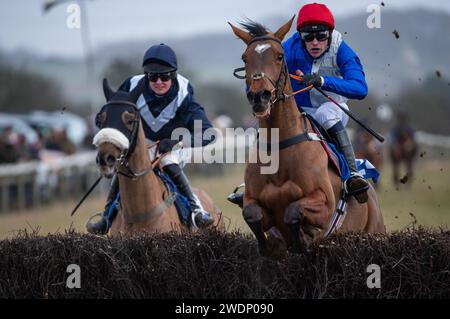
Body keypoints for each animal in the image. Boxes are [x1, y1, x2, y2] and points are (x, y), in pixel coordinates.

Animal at [93, 79, 225, 236]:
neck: (139, 213)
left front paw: (165, 143)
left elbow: (206, 132)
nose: (105, 159)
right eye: (100, 119)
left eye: (130, 120)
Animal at [230, 17, 384, 258]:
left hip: (375, 231)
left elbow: (293, 211)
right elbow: (253, 214)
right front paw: (270, 246)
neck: (280, 146)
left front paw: (303, 239)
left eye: (279, 55)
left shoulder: (325, 203)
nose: (259, 97)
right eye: (245, 58)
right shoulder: (253, 201)